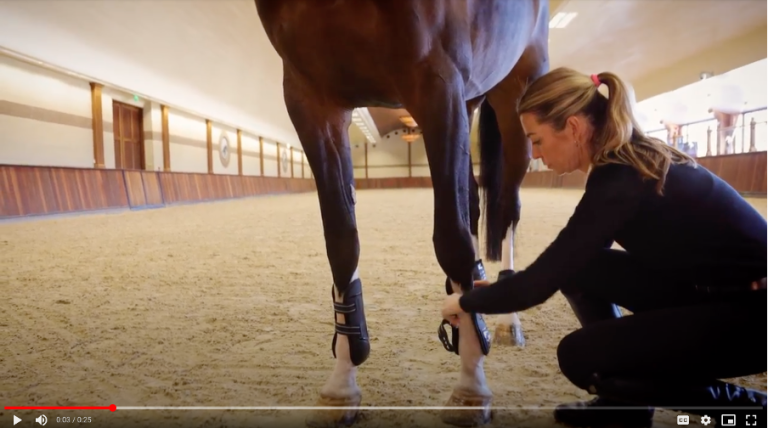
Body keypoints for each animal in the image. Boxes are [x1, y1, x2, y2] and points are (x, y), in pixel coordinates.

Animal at [253, 1, 550, 426]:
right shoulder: (311, 99)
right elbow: (341, 242)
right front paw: (342, 383)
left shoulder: (437, 83)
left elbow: (451, 239)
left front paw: (471, 384)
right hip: (469, 101)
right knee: (473, 201)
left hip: (516, 96)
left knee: (507, 206)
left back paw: (509, 320)